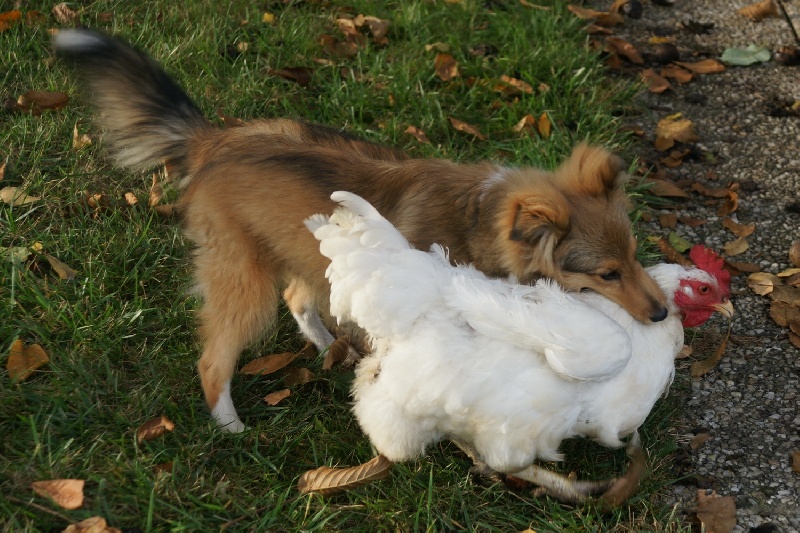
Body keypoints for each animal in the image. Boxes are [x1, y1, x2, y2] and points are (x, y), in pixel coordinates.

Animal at [56, 28, 668, 432]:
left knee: (299, 297)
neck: (483, 221)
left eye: (635, 256)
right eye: (608, 274)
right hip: (243, 277)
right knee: (215, 359)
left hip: (302, 247)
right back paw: (230, 427)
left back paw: (331, 347)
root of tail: (214, 140)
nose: (664, 315)